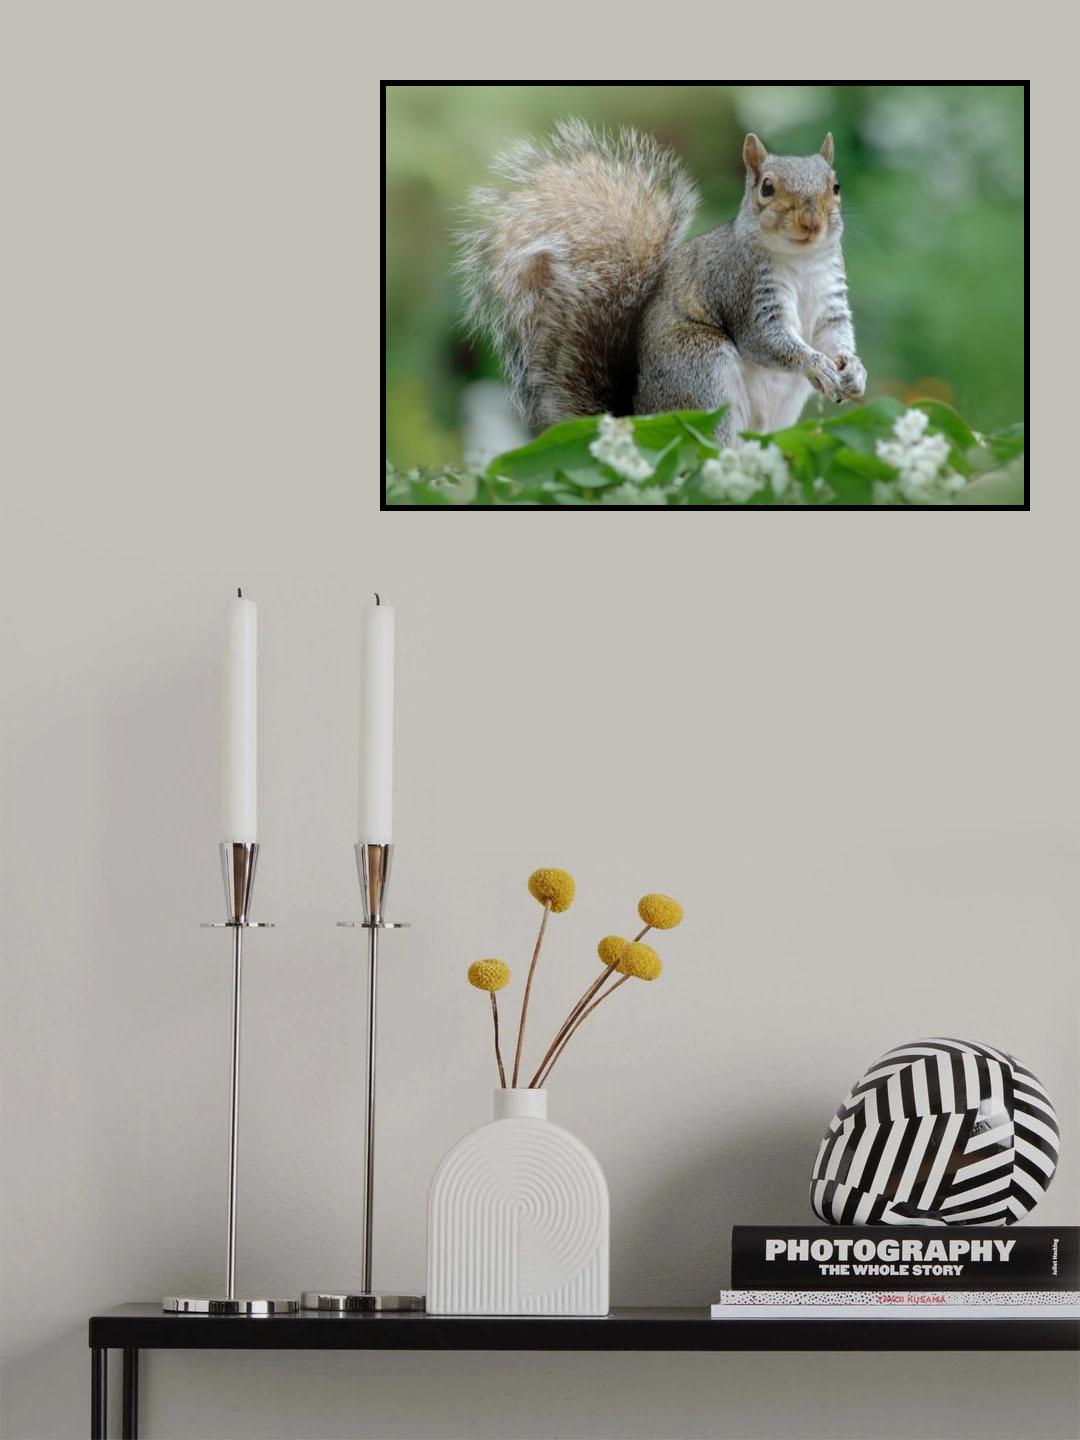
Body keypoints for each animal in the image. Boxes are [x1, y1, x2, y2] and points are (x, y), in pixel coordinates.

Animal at [458, 119, 867, 445]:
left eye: (836, 186)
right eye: (767, 187)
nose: (811, 223)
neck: (800, 262)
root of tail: (640, 418)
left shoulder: (830, 298)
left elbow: (834, 334)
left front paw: (854, 370)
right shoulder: (741, 288)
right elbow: (766, 340)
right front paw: (817, 365)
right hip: (700, 373)